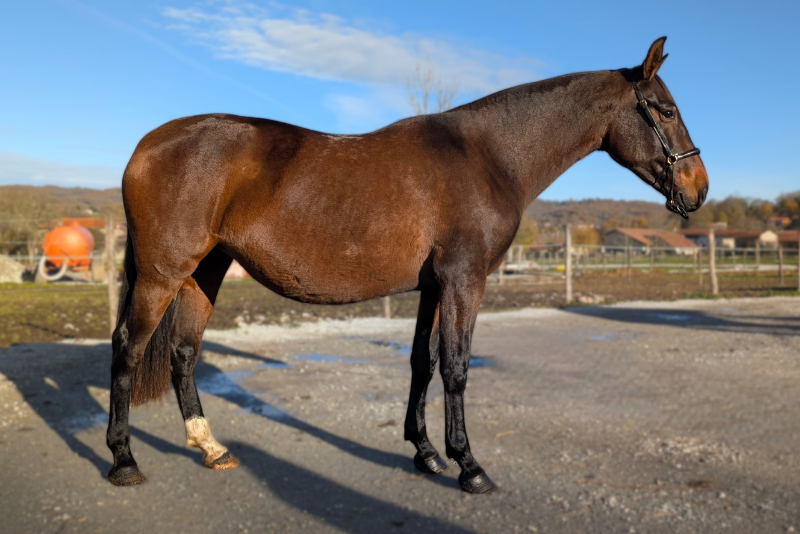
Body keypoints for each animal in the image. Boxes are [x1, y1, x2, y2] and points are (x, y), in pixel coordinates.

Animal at [106, 36, 707, 493]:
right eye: (667, 110)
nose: (698, 189)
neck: (487, 156)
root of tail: (147, 145)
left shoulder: (434, 286)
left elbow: (423, 361)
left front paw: (425, 452)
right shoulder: (465, 281)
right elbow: (457, 367)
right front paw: (469, 466)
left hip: (203, 272)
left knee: (183, 352)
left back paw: (211, 448)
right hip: (162, 275)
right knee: (128, 348)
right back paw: (124, 460)